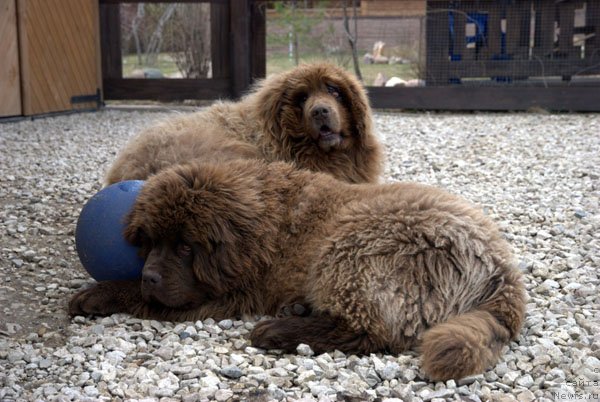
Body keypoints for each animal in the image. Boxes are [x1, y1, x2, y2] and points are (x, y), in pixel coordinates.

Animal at [68, 159, 524, 380]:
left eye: (184, 246)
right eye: (149, 243)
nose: (150, 277)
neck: (262, 221)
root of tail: (501, 266)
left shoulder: (223, 293)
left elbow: (145, 297)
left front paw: (99, 293)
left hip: (354, 245)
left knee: (372, 332)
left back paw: (277, 330)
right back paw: (296, 312)